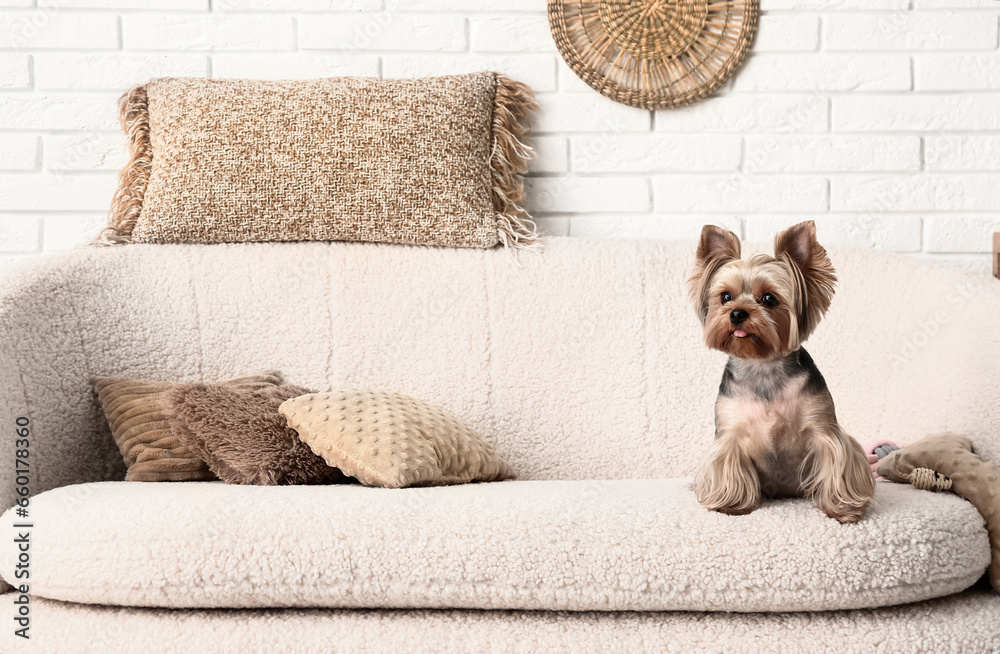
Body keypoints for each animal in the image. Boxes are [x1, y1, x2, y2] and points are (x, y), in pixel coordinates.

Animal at [692, 223, 872, 524]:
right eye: (725, 296)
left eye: (768, 298)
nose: (737, 313)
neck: (763, 365)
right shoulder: (729, 434)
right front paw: (731, 504)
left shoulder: (824, 428)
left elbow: (835, 463)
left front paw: (842, 509)